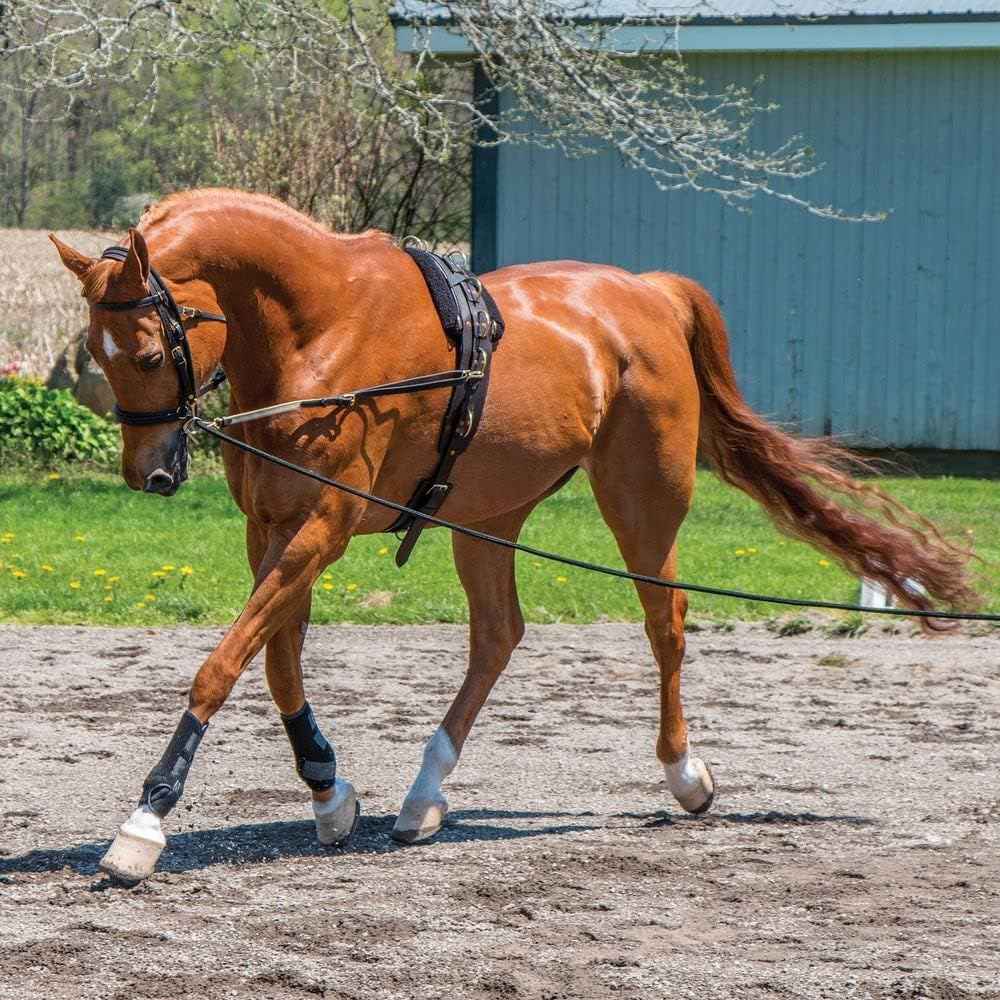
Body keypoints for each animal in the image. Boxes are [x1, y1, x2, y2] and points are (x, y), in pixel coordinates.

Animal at [50, 188, 978, 883]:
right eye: (94, 351)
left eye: (143, 352)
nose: (149, 475)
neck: (321, 328)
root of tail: (649, 291)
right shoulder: (272, 526)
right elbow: (275, 663)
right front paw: (329, 792)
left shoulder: (323, 525)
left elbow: (223, 664)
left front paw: (145, 823)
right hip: (486, 515)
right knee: (498, 635)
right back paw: (424, 797)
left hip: (642, 501)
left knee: (665, 623)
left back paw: (683, 776)